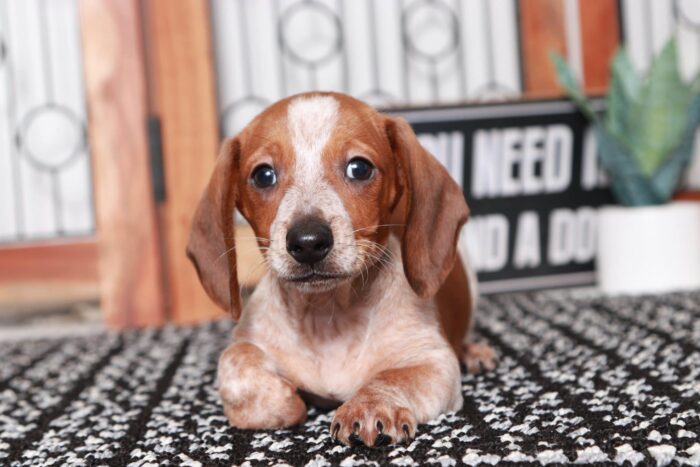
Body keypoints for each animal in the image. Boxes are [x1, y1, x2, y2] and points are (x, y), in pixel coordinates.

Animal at [185, 92, 498, 450]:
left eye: (359, 168)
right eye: (263, 175)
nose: (308, 242)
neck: (328, 316)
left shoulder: (433, 361)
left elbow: (391, 377)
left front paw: (370, 404)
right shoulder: (246, 343)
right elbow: (237, 367)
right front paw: (287, 401)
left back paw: (474, 351)